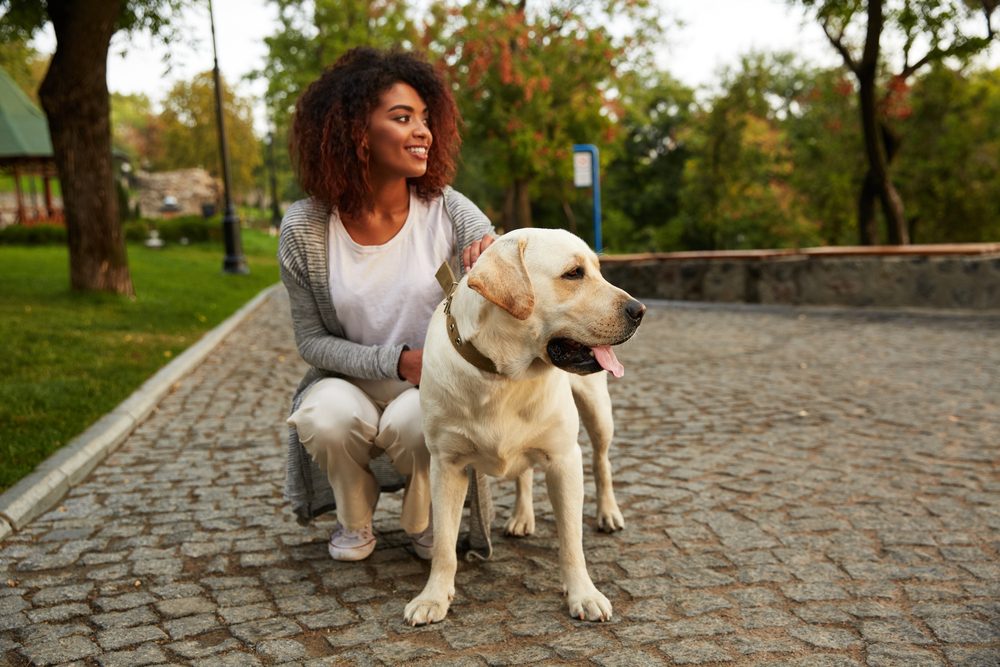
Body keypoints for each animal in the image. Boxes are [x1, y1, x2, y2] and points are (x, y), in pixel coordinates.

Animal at [402, 230, 644, 628]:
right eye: (574, 273)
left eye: (598, 269)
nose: (639, 311)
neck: (504, 376)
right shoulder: (446, 465)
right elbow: (443, 545)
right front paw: (433, 597)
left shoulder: (564, 459)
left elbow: (571, 541)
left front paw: (583, 594)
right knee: (524, 472)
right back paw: (521, 516)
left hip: (597, 412)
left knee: (601, 460)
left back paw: (608, 513)